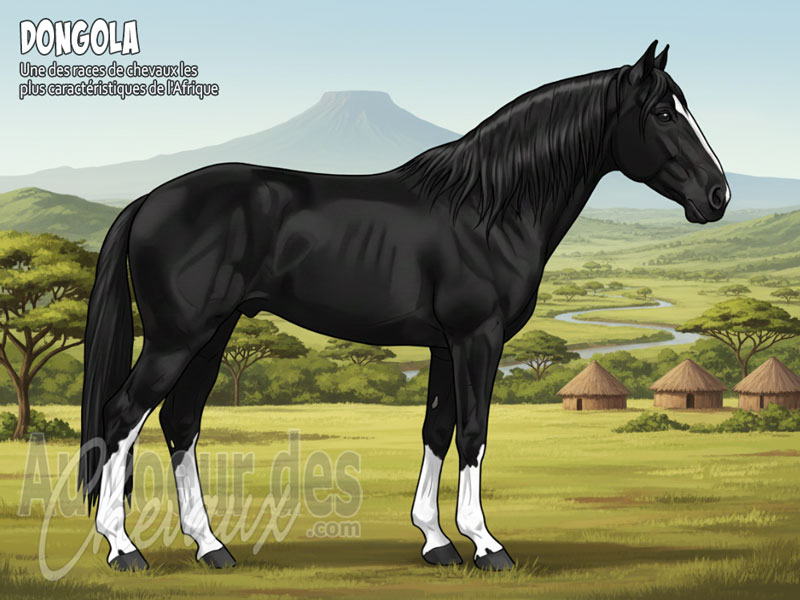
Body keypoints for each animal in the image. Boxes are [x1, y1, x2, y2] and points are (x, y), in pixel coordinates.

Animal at [79, 41, 730, 572]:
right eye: (664, 113)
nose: (718, 195)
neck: (489, 208)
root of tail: (148, 200)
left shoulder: (445, 346)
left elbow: (437, 430)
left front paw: (436, 541)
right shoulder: (477, 338)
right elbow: (473, 432)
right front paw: (486, 545)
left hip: (212, 334)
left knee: (179, 422)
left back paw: (211, 547)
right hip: (177, 338)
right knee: (123, 415)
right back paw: (123, 548)